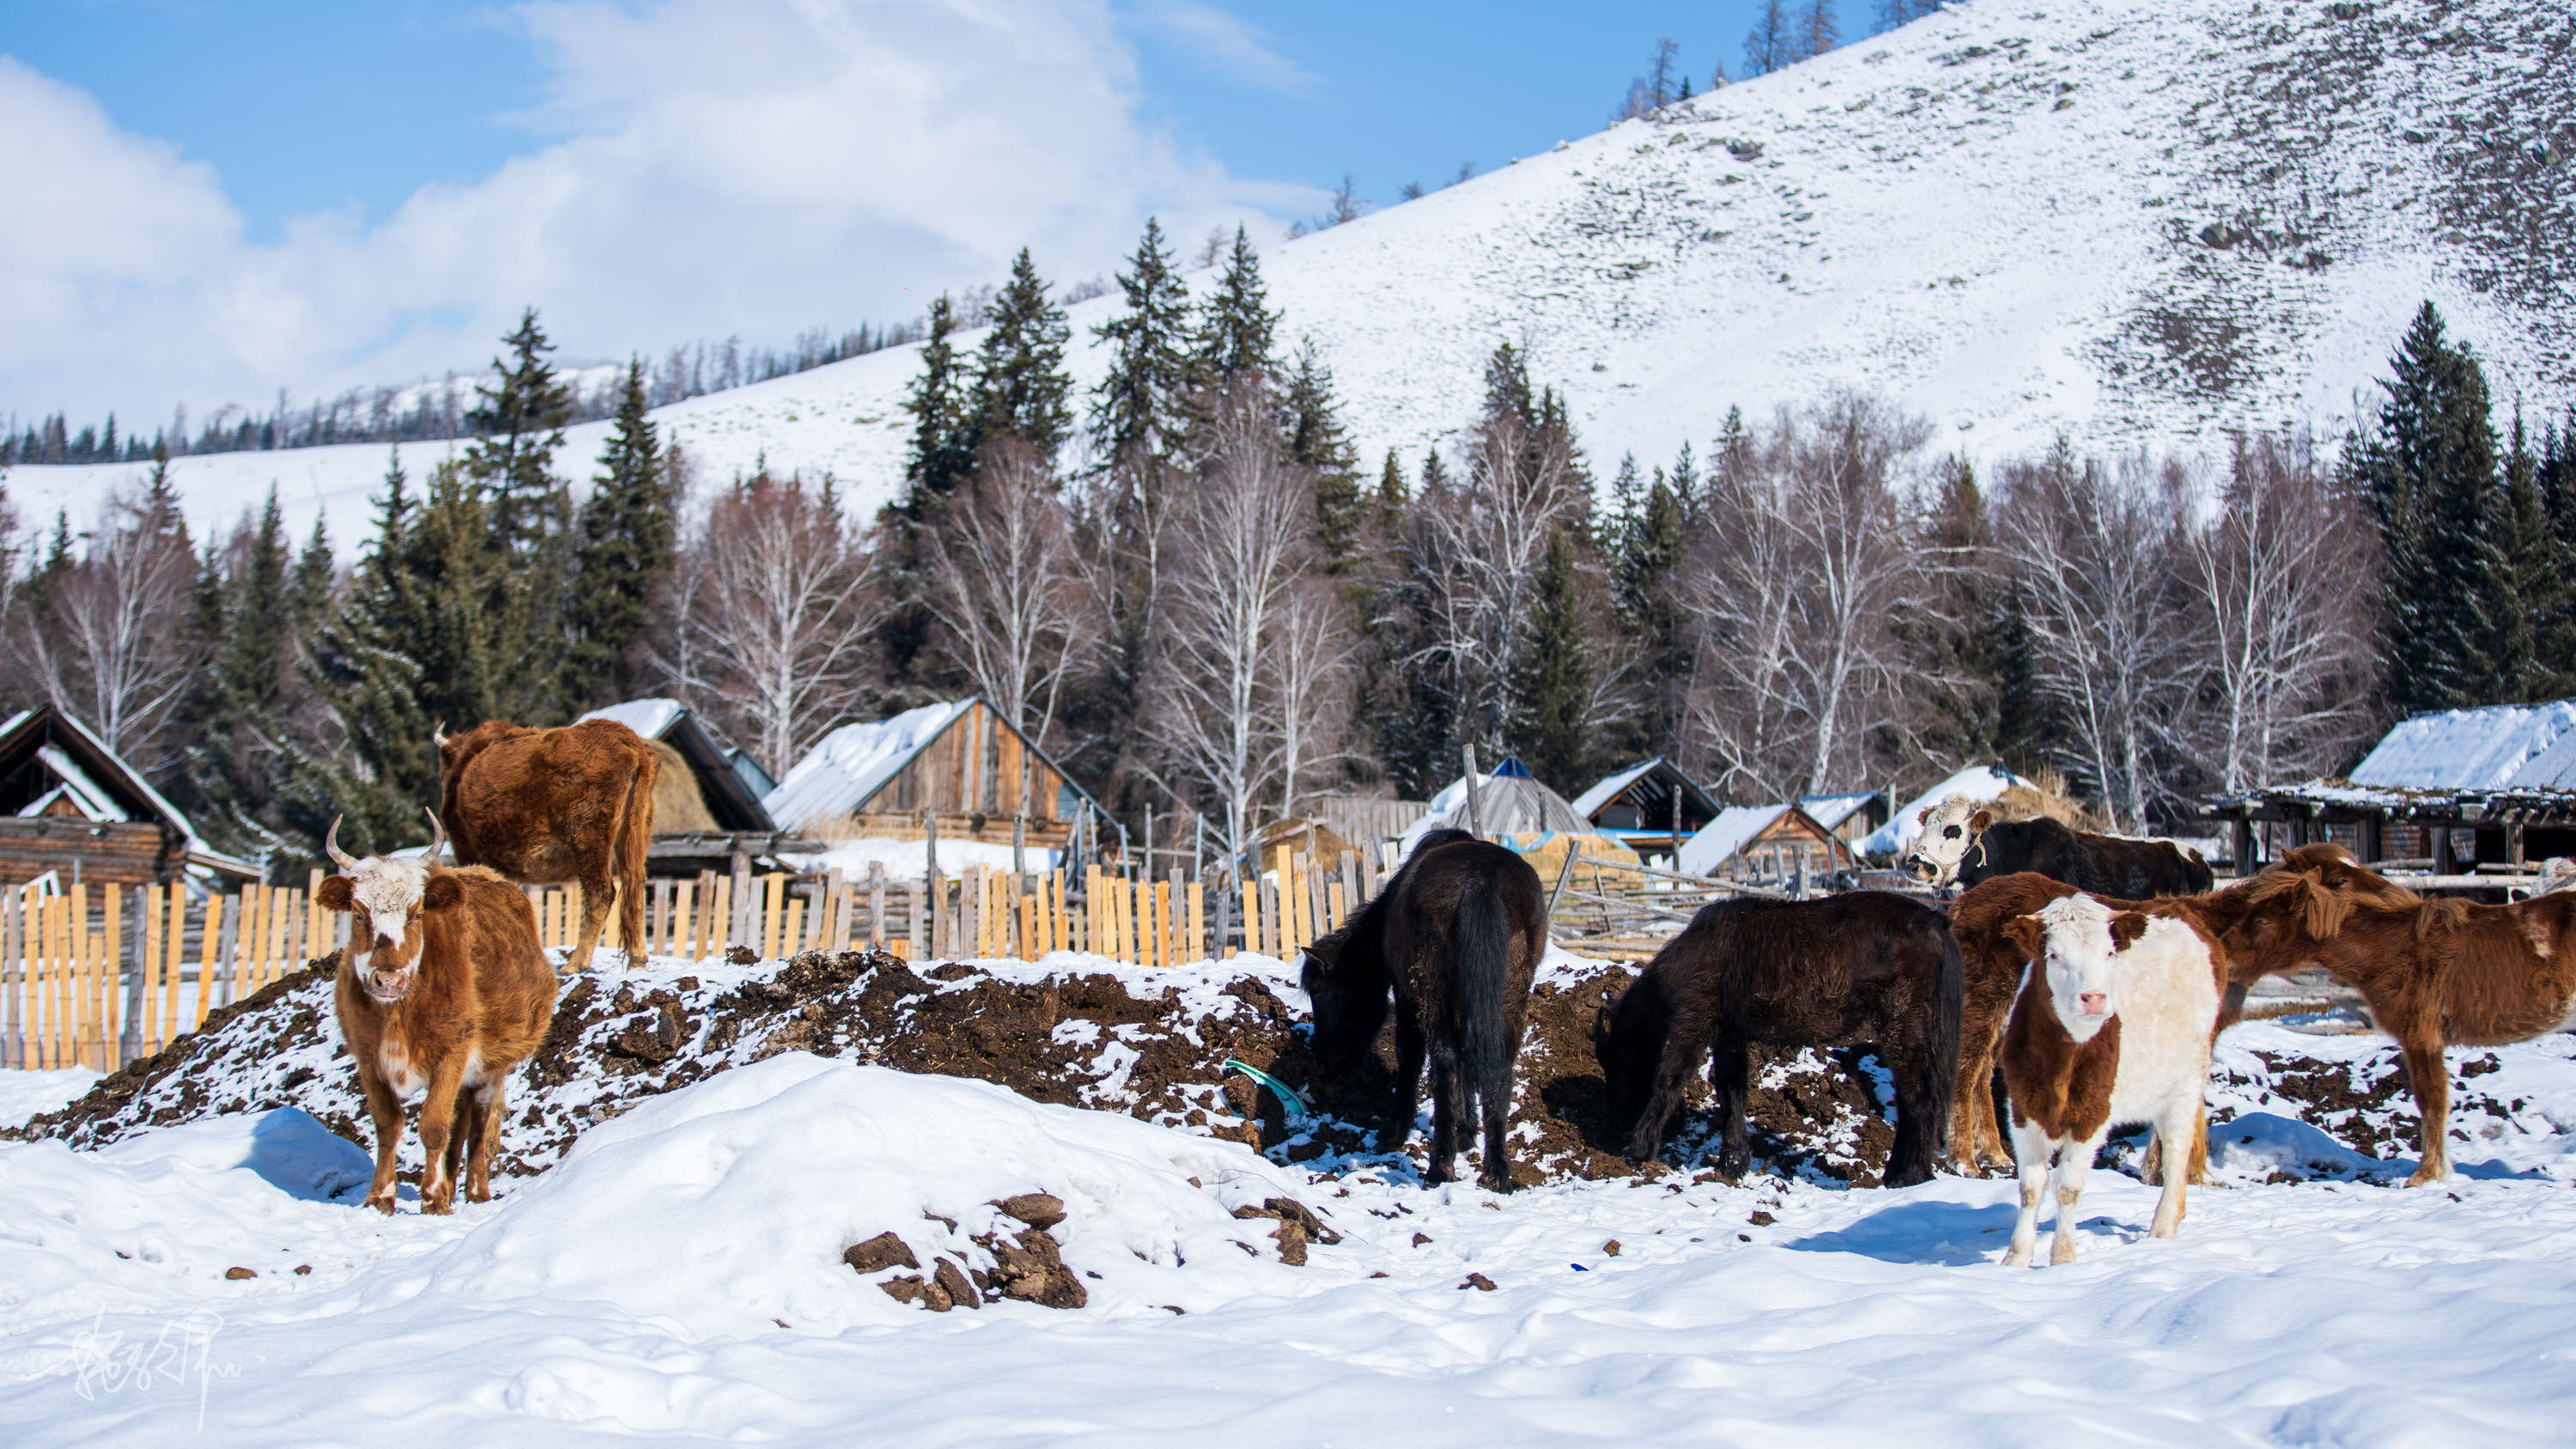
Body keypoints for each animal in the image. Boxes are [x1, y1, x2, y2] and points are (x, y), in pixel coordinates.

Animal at [318, 814, 559, 1206]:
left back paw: (475, 1190)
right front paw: (380, 1196)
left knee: (477, 1120)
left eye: (416, 914)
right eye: (358, 914)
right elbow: (388, 1125)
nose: (387, 980)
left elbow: (433, 1125)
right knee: (459, 1123)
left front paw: (433, 1198)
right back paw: (450, 1181)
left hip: (492, 1066)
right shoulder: (369, 1060)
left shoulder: (453, 1053)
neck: (399, 1014)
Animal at [1298, 830, 1535, 1190]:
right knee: (1499, 1068)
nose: (1325, 1064)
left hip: (1430, 994)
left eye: (1319, 992)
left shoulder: (1406, 994)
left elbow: (1410, 1056)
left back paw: (1440, 1167)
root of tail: (1482, 881)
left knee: (1444, 1062)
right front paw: (1467, 1131)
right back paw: (1497, 1171)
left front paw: (1394, 1132)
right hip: (1510, 998)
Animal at [1587, 892, 1947, 1185]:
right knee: (1908, 1100)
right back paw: (1896, 1174)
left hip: (1901, 1025)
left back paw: (1911, 1176)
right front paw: (1733, 1163)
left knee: (1919, 1099)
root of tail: (1931, 920)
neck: (1699, 952)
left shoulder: (1694, 1023)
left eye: (1614, 1060)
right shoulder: (1729, 1035)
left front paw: (1639, 1148)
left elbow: (1670, 1080)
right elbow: (1731, 1093)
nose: (1617, 1121)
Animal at [1999, 892, 2226, 1263]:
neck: (2063, 1060)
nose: (2094, 998)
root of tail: (2178, 908)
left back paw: (2162, 1229)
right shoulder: (2022, 1109)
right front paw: (2015, 1260)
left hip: (2188, 1080)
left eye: (2109, 953)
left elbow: (2068, 1187)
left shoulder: (2093, 1114)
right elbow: (2030, 1188)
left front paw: (2063, 1259)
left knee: (2176, 1151)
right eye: (2053, 954)